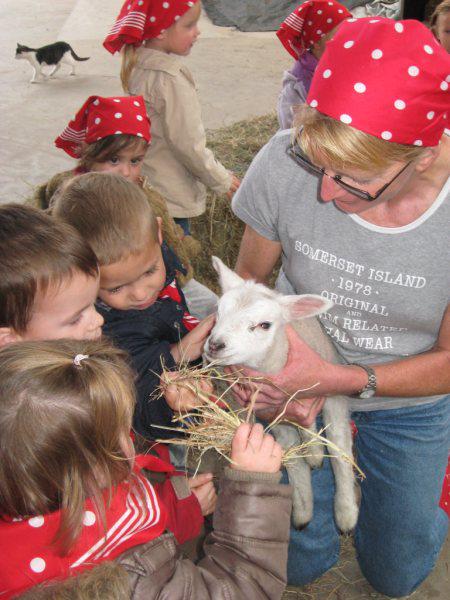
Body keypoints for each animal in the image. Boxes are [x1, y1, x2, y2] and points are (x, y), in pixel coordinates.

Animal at [204, 255, 358, 532]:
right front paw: (302, 510)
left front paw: (345, 512)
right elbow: (294, 459)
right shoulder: (275, 416)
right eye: (218, 311)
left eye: (264, 325)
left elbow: (340, 449)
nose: (215, 345)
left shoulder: (332, 396)